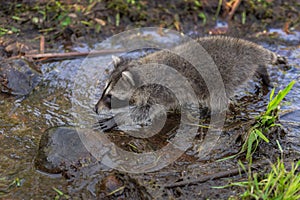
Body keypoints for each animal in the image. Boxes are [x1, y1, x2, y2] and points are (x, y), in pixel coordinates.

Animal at [95, 35, 288, 131]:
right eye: (104, 90)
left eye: (110, 96)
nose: (95, 109)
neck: (142, 70)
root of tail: (245, 48)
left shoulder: (159, 93)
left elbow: (142, 112)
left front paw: (116, 119)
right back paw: (262, 70)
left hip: (225, 77)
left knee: (218, 101)